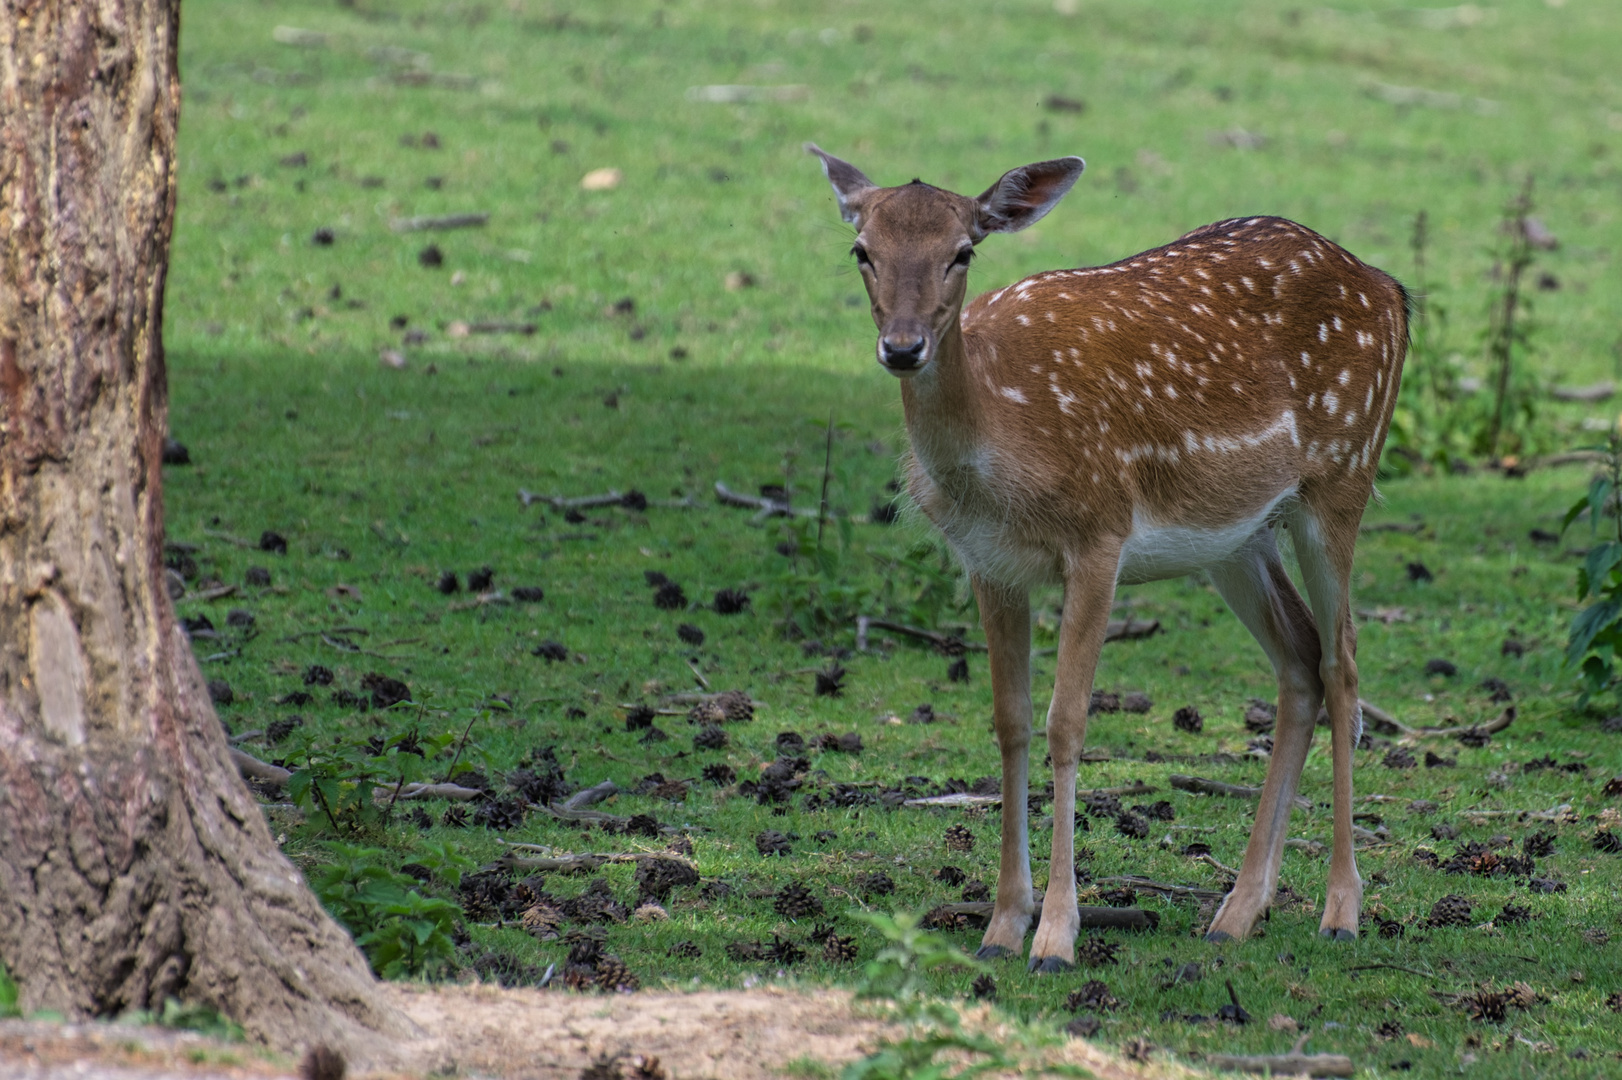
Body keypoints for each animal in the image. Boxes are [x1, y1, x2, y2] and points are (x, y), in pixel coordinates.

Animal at [811, 141, 1407, 966]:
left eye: (963, 251)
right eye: (862, 250)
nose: (903, 348)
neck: (1000, 446)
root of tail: (1390, 287)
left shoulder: (1100, 533)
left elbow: (1068, 722)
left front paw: (1056, 935)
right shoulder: (987, 561)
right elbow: (1009, 721)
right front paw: (1001, 926)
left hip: (1343, 476)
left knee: (1342, 661)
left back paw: (1341, 910)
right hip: (1238, 534)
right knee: (1298, 655)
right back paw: (1236, 912)